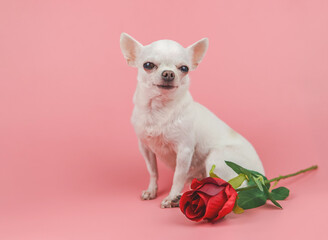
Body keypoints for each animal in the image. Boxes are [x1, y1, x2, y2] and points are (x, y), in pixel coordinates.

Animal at [120, 32, 264, 207]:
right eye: (148, 65)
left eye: (184, 68)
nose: (168, 73)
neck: (160, 110)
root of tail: (262, 176)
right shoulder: (146, 148)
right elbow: (153, 171)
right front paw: (152, 191)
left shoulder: (184, 151)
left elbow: (178, 176)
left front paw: (171, 197)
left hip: (218, 158)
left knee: (234, 188)